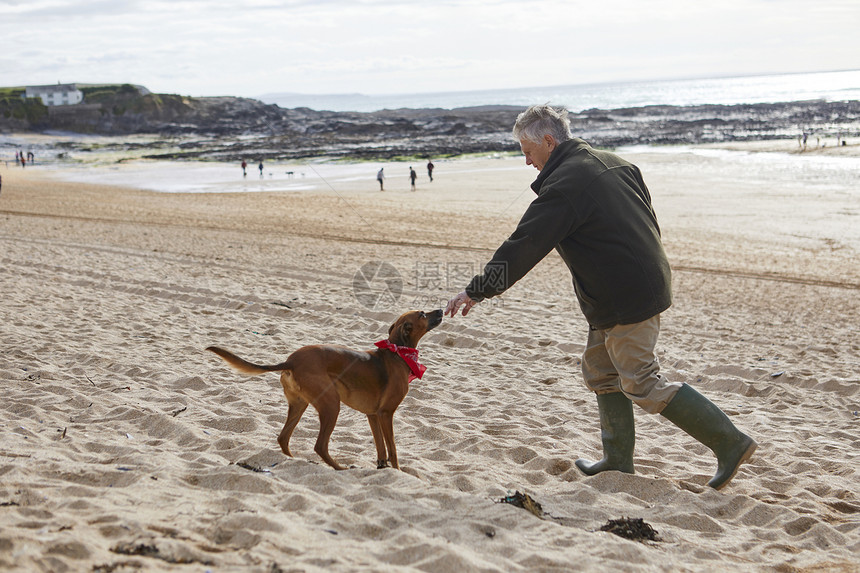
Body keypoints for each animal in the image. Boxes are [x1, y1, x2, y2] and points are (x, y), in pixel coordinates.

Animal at [205, 308, 440, 470]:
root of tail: (291, 361)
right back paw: (339, 468)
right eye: (422, 313)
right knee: (319, 445)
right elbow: (393, 450)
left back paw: (293, 460)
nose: (439, 310)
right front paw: (397, 471)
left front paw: (382, 467)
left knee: (283, 437)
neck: (397, 353)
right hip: (331, 405)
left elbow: (381, 447)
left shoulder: (373, 415)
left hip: (299, 405)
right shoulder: (385, 414)